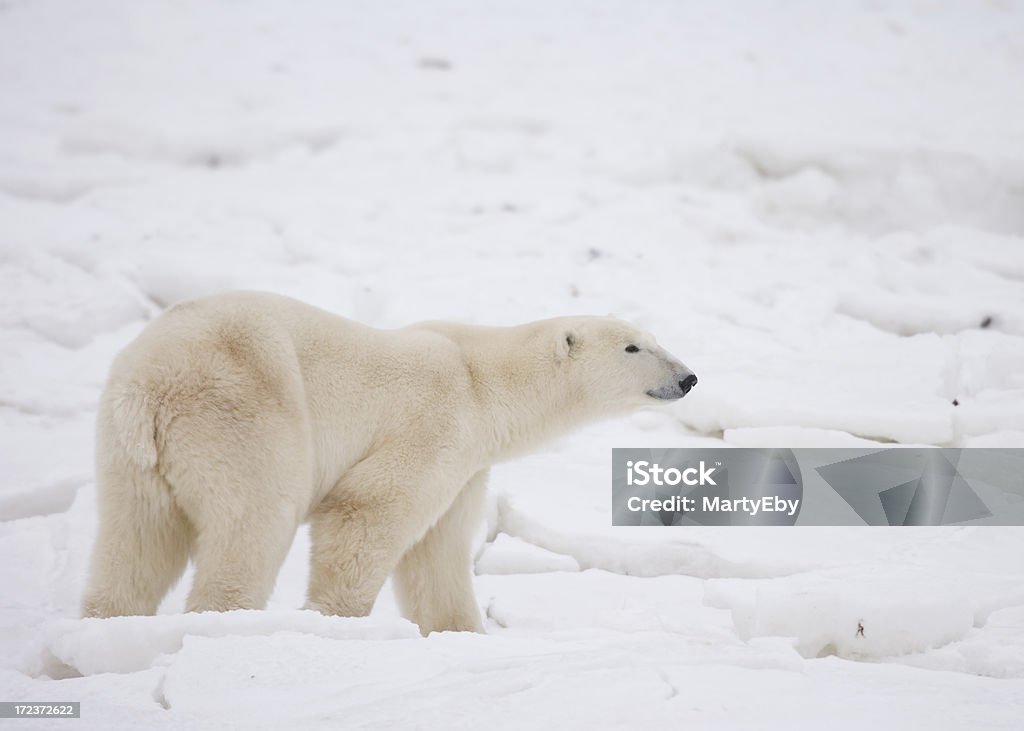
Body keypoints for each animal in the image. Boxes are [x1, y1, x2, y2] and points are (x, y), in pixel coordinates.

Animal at [79, 290, 696, 630]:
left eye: (655, 338)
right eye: (633, 347)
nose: (688, 377)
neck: (481, 380)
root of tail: (151, 385)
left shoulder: (467, 464)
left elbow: (438, 552)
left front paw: (460, 633)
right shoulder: (434, 420)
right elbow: (367, 511)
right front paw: (337, 622)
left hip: (129, 453)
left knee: (136, 543)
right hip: (242, 410)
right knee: (256, 519)